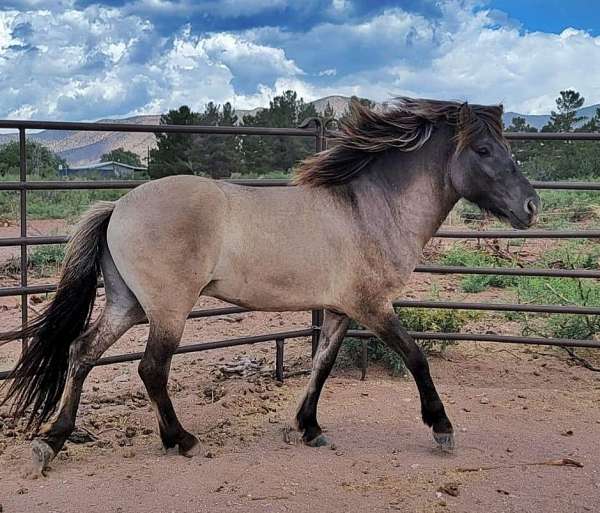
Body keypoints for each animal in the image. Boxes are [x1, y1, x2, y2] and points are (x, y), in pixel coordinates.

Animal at [0, 97, 540, 476]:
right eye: (485, 150)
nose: (531, 207)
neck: (368, 210)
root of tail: (118, 206)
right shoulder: (373, 305)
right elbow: (416, 357)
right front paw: (442, 428)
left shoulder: (340, 310)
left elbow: (322, 366)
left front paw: (308, 428)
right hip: (168, 310)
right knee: (151, 368)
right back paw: (181, 440)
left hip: (126, 305)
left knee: (82, 353)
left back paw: (51, 441)